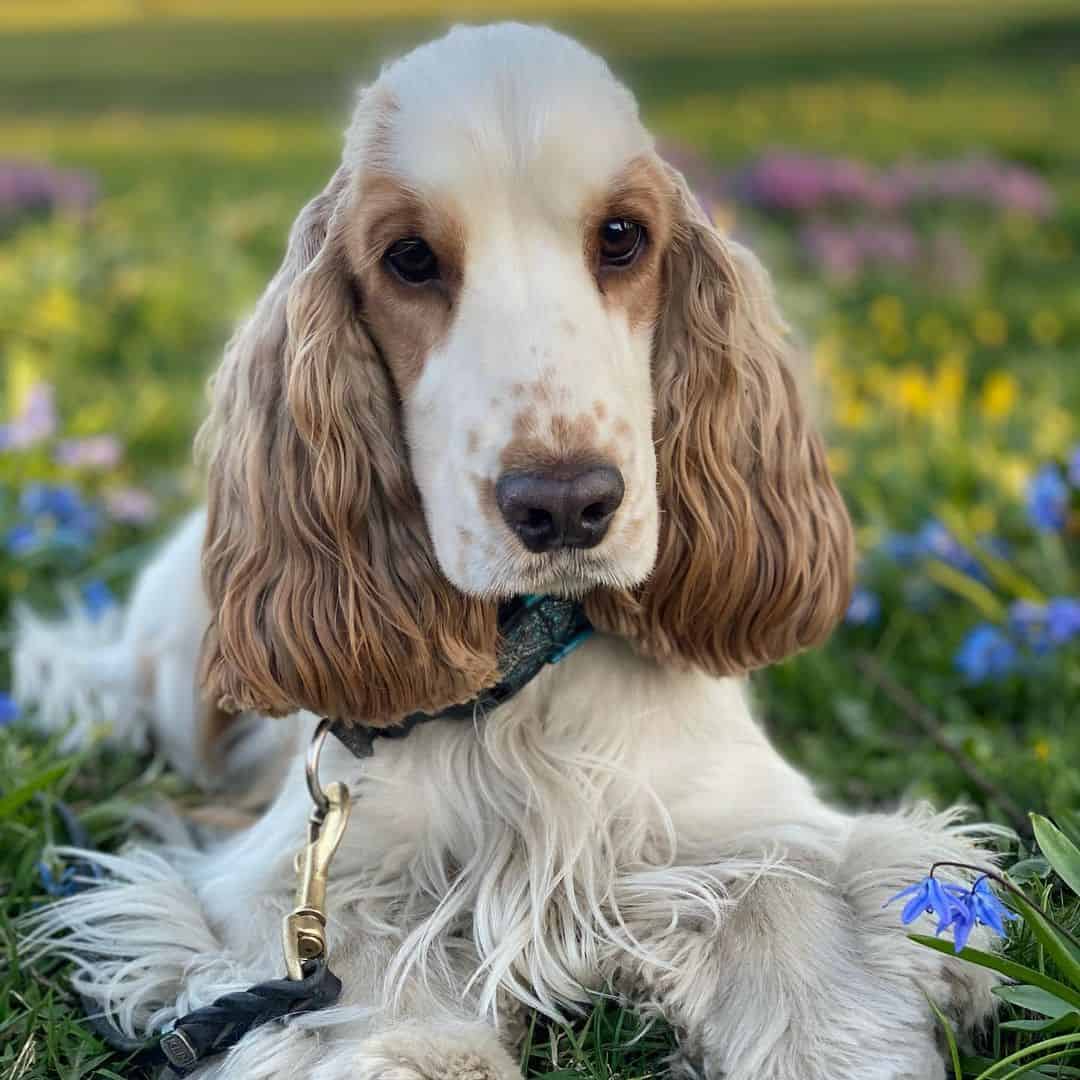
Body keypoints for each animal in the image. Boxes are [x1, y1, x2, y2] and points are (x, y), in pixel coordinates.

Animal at [16, 25, 997, 1080]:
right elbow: (353, 966)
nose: (564, 505)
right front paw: (413, 1049)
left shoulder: (759, 818)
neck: (532, 678)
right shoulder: (289, 872)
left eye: (622, 236)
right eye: (409, 257)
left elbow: (789, 890)